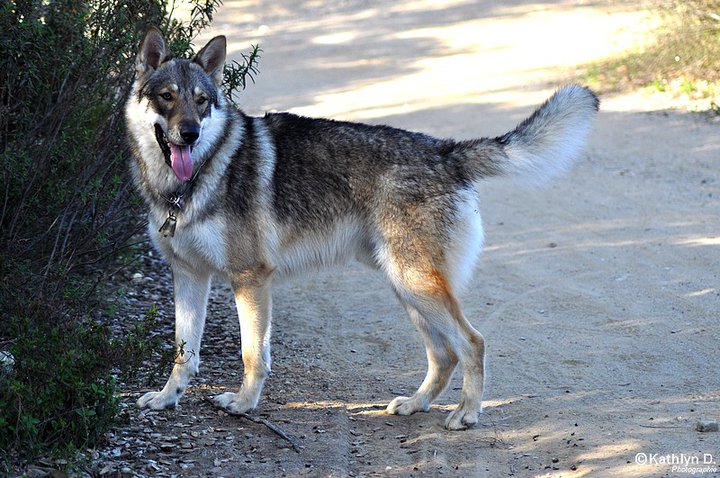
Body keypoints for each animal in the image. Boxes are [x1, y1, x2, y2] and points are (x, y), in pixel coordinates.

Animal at [126, 27, 600, 430]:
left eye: (202, 101)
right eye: (167, 97)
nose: (189, 134)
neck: (187, 184)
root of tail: (445, 151)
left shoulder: (250, 279)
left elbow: (252, 356)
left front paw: (243, 405)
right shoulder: (189, 276)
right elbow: (183, 353)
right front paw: (167, 398)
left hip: (416, 285)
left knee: (473, 342)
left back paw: (466, 414)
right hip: (407, 289)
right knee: (444, 354)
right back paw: (415, 404)